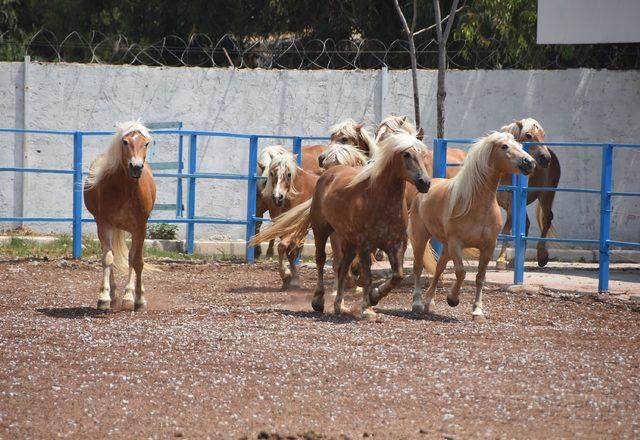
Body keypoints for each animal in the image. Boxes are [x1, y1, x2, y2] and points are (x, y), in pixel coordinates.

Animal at [84, 122, 158, 312]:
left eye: (146, 143)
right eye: (125, 142)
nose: (136, 167)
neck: (127, 190)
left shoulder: (140, 227)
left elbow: (137, 261)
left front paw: (138, 299)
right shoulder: (104, 224)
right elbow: (108, 258)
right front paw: (104, 297)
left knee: (132, 258)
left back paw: (128, 296)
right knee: (110, 255)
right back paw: (114, 294)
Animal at [250, 132, 430, 318]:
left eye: (423, 155)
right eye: (406, 154)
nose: (425, 182)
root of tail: (329, 174)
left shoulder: (395, 245)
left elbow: (397, 276)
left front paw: (373, 297)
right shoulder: (364, 245)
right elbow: (367, 276)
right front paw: (366, 307)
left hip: (347, 240)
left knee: (342, 267)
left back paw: (339, 304)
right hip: (321, 231)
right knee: (321, 261)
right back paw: (318, 300)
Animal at [408, 132, 536, 322]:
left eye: (520, 146)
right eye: (504, 146)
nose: (530, 162)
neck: (477, 205)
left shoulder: (488, 246)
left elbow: (480, 277)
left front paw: (477, 311)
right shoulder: (456, 244)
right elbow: (461, 272)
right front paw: (452, 299)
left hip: (446, 247)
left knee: (439, 269)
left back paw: (429, 303)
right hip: (421, 238)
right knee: (418, 267)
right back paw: (417, 303)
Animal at [496, 117, 560, 268]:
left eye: (543, 135)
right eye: (528, 135)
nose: (546, 158)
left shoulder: (512, 205)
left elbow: (506, 231)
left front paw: (500, 260)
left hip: (546, 196)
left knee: (547, 219)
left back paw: (542, 255)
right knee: (527, 223)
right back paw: (515, 260)